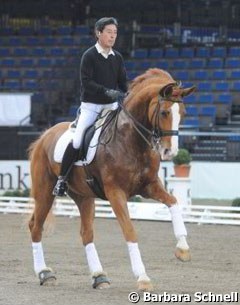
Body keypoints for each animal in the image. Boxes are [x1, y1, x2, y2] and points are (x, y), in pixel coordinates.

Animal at [29, 68, 196, 290]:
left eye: (183, 114)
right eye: (164, 113)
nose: (170, 152)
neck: (130, 140)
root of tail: (43, 136)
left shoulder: (149, 186)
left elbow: (174, 202)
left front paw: (183, 249)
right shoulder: (116, 192)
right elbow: (130, 231)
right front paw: (143, 278)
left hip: (84, 196)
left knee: (86, 233)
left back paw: (99, 276)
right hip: (45, 192)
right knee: (35, 227)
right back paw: (45, 273)